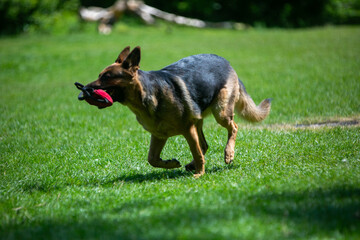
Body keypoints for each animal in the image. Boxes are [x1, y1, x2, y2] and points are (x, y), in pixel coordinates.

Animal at [85, 47, 270, 178]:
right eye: (100, 75)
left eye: (107, 77)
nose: (84, 89)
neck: (145, 96)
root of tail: (227, 63)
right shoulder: (159, 135)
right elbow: (152, 159)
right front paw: (171, 164)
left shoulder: (187, 130)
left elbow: (196, 152)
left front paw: (200, 174)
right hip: (199, 120)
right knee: (205, 144)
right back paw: (192, 164)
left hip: (221, 113)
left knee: (233, 127)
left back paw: (228, 154)